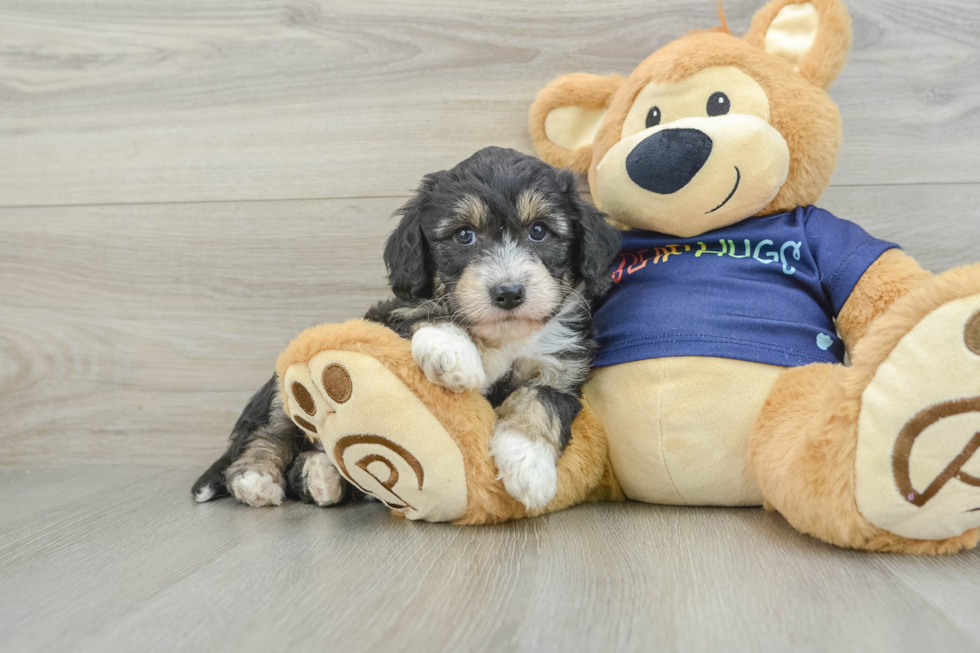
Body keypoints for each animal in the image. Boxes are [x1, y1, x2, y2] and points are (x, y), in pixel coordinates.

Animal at [192, 146, 620, 510]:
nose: (509, 292)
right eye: (464, 235)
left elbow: (540, 400)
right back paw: (256, 477)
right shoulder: (390, 314)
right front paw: (453, 354)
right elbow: (426, 313)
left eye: (540, 231)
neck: (500, 337)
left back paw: (323, 475)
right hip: (282, 393)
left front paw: (526, 462)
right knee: (268, 430)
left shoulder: (562, 370)